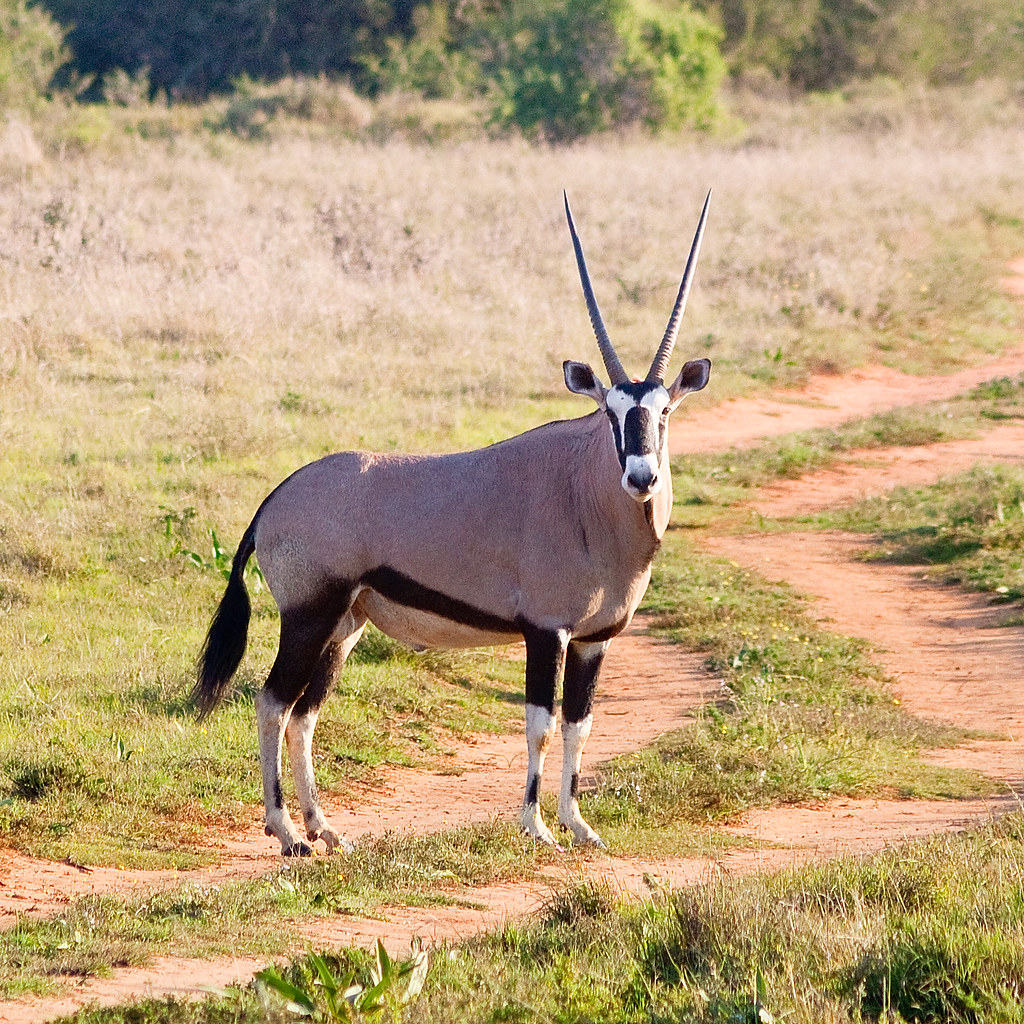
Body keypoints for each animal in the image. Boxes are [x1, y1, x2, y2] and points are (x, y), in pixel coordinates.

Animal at [195, 192, 712, 856]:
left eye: (664, 411)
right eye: (610, 413)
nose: (642, 476)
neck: (583, 490)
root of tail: (274, 500)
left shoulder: (593, 640)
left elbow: (581, 726)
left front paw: (579, 826)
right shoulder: (546, 632)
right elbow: (541, 726)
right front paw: (536, 827)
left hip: (345, 625)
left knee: (305, 713)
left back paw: (323, 826)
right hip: (310, 615)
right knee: (273, 703)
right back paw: (287, 833)